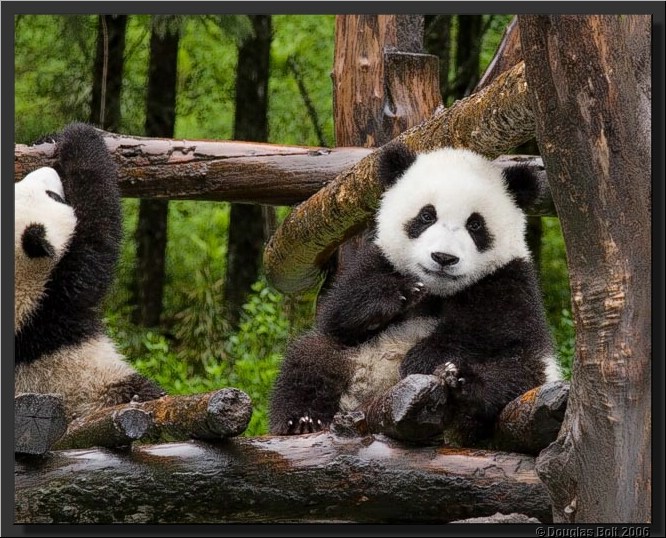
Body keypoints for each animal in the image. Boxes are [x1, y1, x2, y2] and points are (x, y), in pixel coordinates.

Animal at [15, 123, 163, 422]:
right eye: (53, 197)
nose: (48, 171)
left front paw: (46, 138)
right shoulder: (56, 298)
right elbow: (99, 227)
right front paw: (80, 135)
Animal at [269, 143, 560, 444]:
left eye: (475, 225)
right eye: (427, 216)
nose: (444, 257)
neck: (437, 291)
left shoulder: (511, 279)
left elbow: (492, 331)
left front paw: (422, 358)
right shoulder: (376, 261)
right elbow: (339, 315)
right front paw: (398, 295)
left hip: (537, 373)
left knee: (516, 374)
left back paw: (459, 383)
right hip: (354, 358)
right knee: (312, 356)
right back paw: (303, 420)